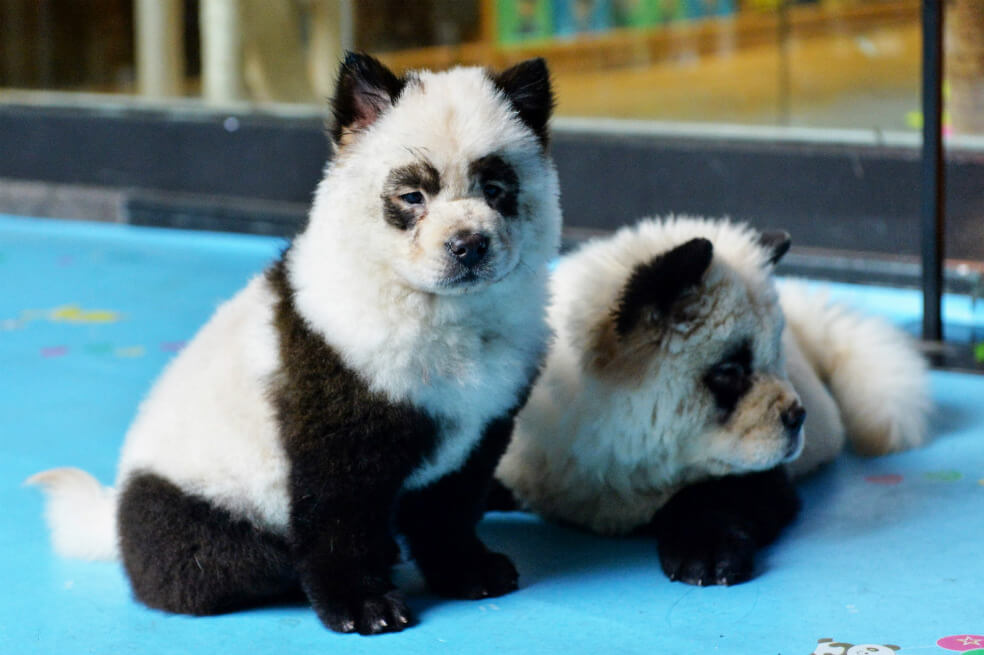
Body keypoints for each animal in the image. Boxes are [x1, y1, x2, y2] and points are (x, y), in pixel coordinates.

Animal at [494, 216, 929, 585]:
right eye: (730, 371)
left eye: (776, 357)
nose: (797, 416)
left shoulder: (758, 473)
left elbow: (725, 494)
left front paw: (705, 554)